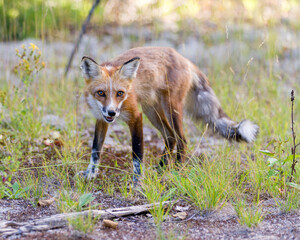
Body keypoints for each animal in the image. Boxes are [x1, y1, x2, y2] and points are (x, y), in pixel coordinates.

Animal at [79, 46, 258, 182]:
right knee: (170, 137)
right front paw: (91, 173)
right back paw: (161, 167)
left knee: (181, 140)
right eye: (101, 93)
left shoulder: (136, 116)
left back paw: (177, 169)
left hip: (171, 109)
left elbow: (137, 153)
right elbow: (95, 149)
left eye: (120, 93)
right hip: (152, 111)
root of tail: (183, 58)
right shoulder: (101, 119)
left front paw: (137, 181)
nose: (112, 112)